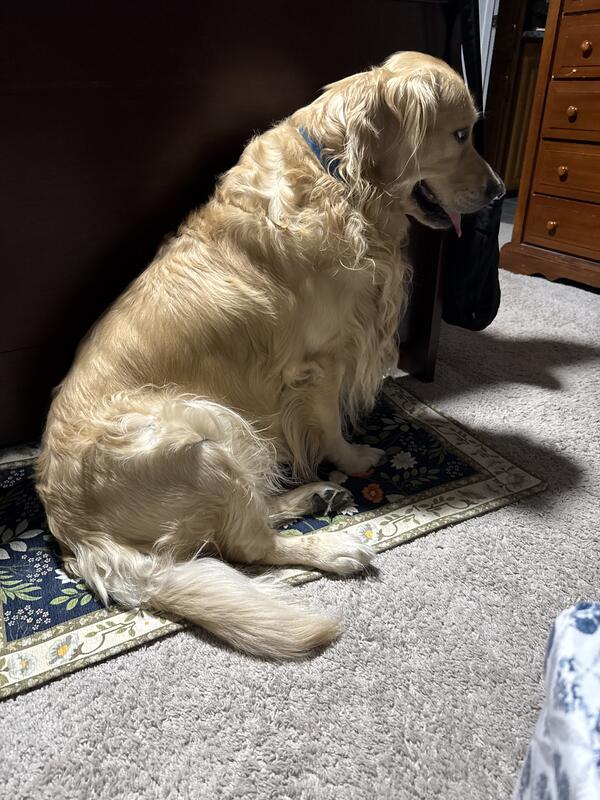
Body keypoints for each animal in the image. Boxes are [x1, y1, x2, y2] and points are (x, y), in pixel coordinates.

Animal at [36, 52, 503, 659]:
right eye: (462, 134)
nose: (498, 194)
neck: (339, 176)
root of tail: (71, 529)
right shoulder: (322, 359)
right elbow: (329, 426)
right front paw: (355, 457)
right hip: (201, 433)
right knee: (248, 545)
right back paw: (334, 548)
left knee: (249, 517)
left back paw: (313, 497)